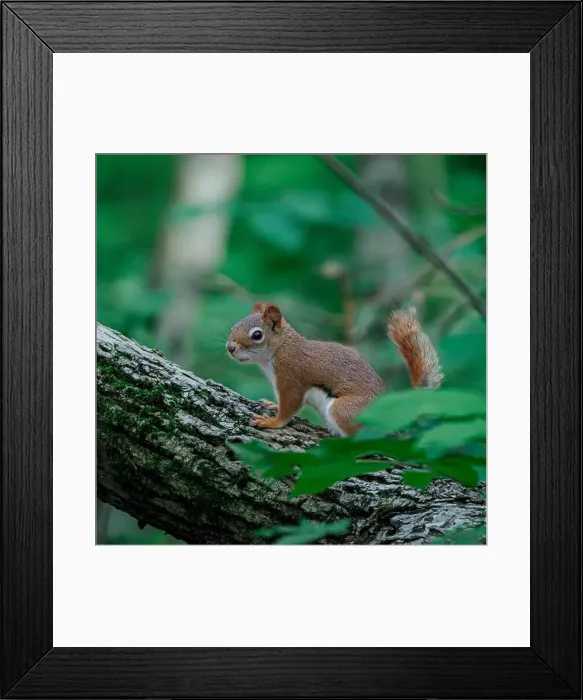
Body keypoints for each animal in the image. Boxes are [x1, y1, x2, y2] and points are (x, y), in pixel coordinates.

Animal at [226, 302, 443, 437]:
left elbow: (288, 408)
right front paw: (271, 404)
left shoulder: (291, 376)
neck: (281, 348)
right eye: (233, 327)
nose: (230, 347)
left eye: (257, 335)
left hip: (345, 410)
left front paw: (271, 422)